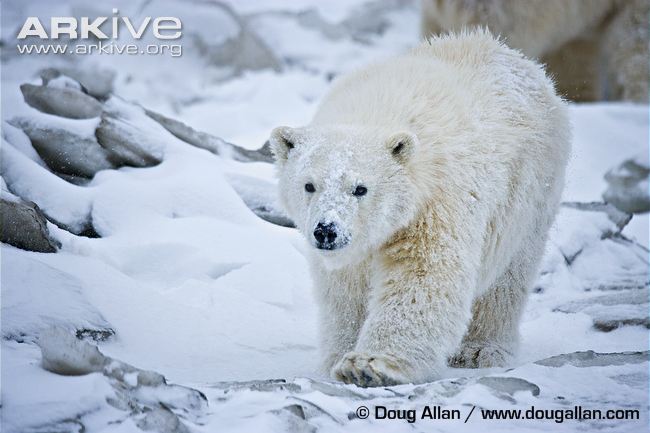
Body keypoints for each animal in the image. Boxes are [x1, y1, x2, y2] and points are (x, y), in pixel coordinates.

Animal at [270, 30, 571, 387]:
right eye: (309, 185)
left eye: (360, 188)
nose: (327, 231)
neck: (379, 111)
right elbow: (346, 289)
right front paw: (340, 356)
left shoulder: (436, 199)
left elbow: (423, 274)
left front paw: (370, 365)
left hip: (530, 191)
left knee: (509, 275)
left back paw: (480, 349)